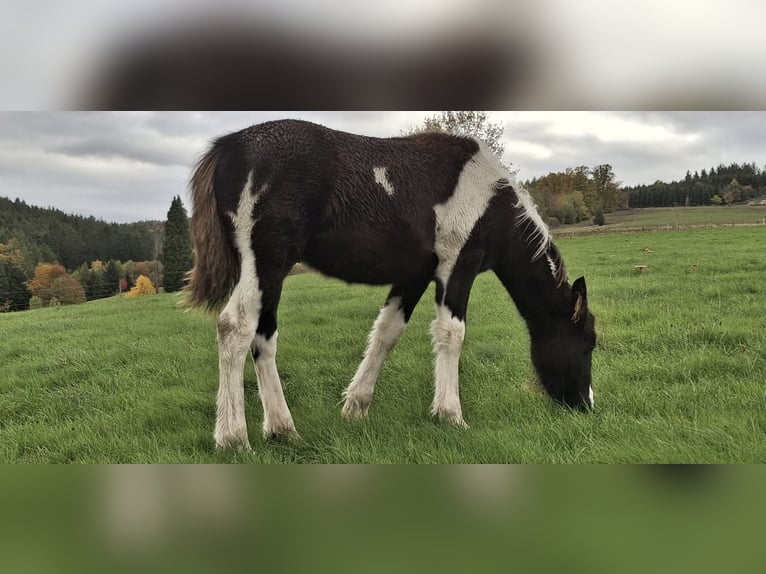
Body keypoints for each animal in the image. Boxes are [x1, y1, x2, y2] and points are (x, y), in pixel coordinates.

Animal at [186, 119, 596, 450]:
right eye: (589, 344)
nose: (585, 405)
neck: (491, 200)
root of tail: (230, 145)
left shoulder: (414, 275)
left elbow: (387, 332)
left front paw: (356, 406)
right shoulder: (457, 266)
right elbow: (452, 333)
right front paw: (451, 415)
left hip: (271, 273)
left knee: (263, 336)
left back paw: (282, 430)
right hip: (267, 261)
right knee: (235, 327)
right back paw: (233, 437)